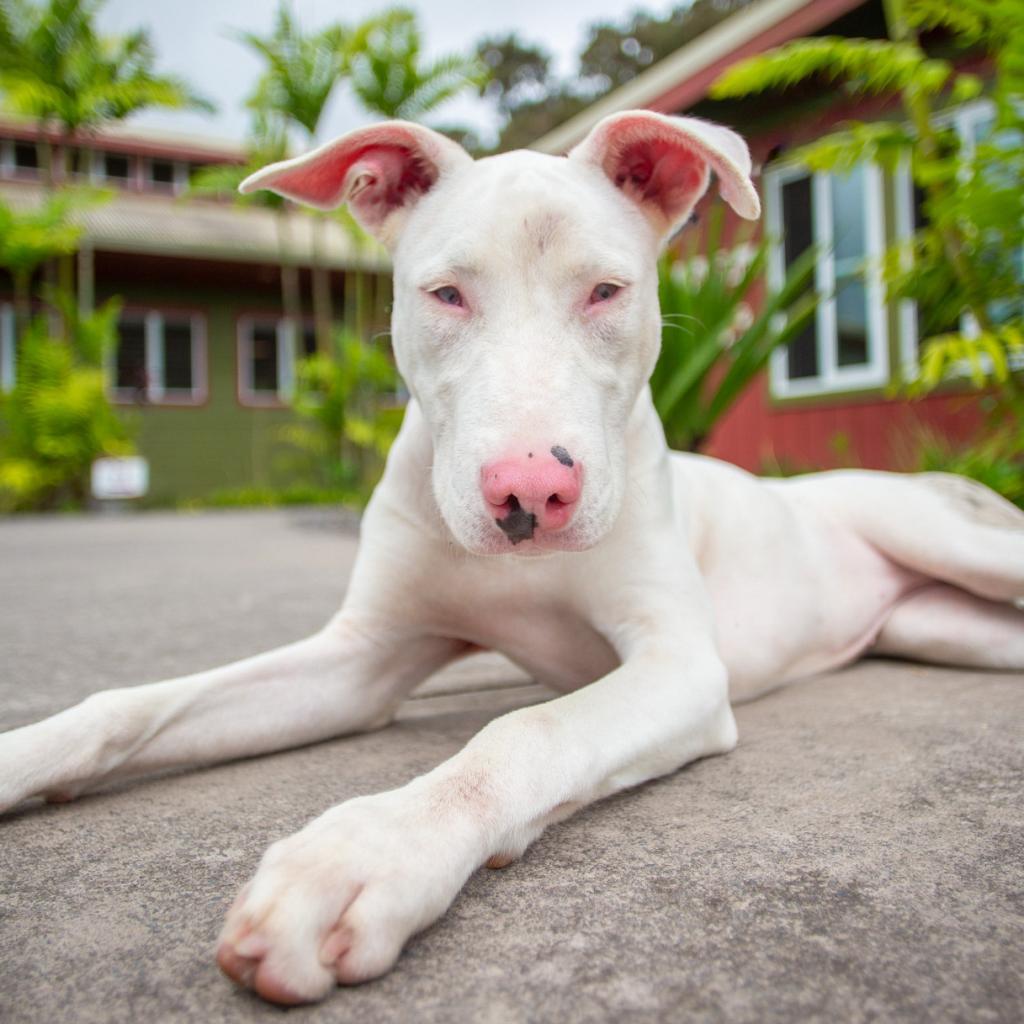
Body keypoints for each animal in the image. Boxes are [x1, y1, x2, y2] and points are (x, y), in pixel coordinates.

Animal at [2, 110, 1024, 999]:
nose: (530, 491)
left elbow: (524, 732)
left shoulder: (681, 668)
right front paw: (27, 756)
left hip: (949, 542)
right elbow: (130, 706)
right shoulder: (361, 661)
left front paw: (368, 850)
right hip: (949, 628)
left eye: (606, 292)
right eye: (447, 294)